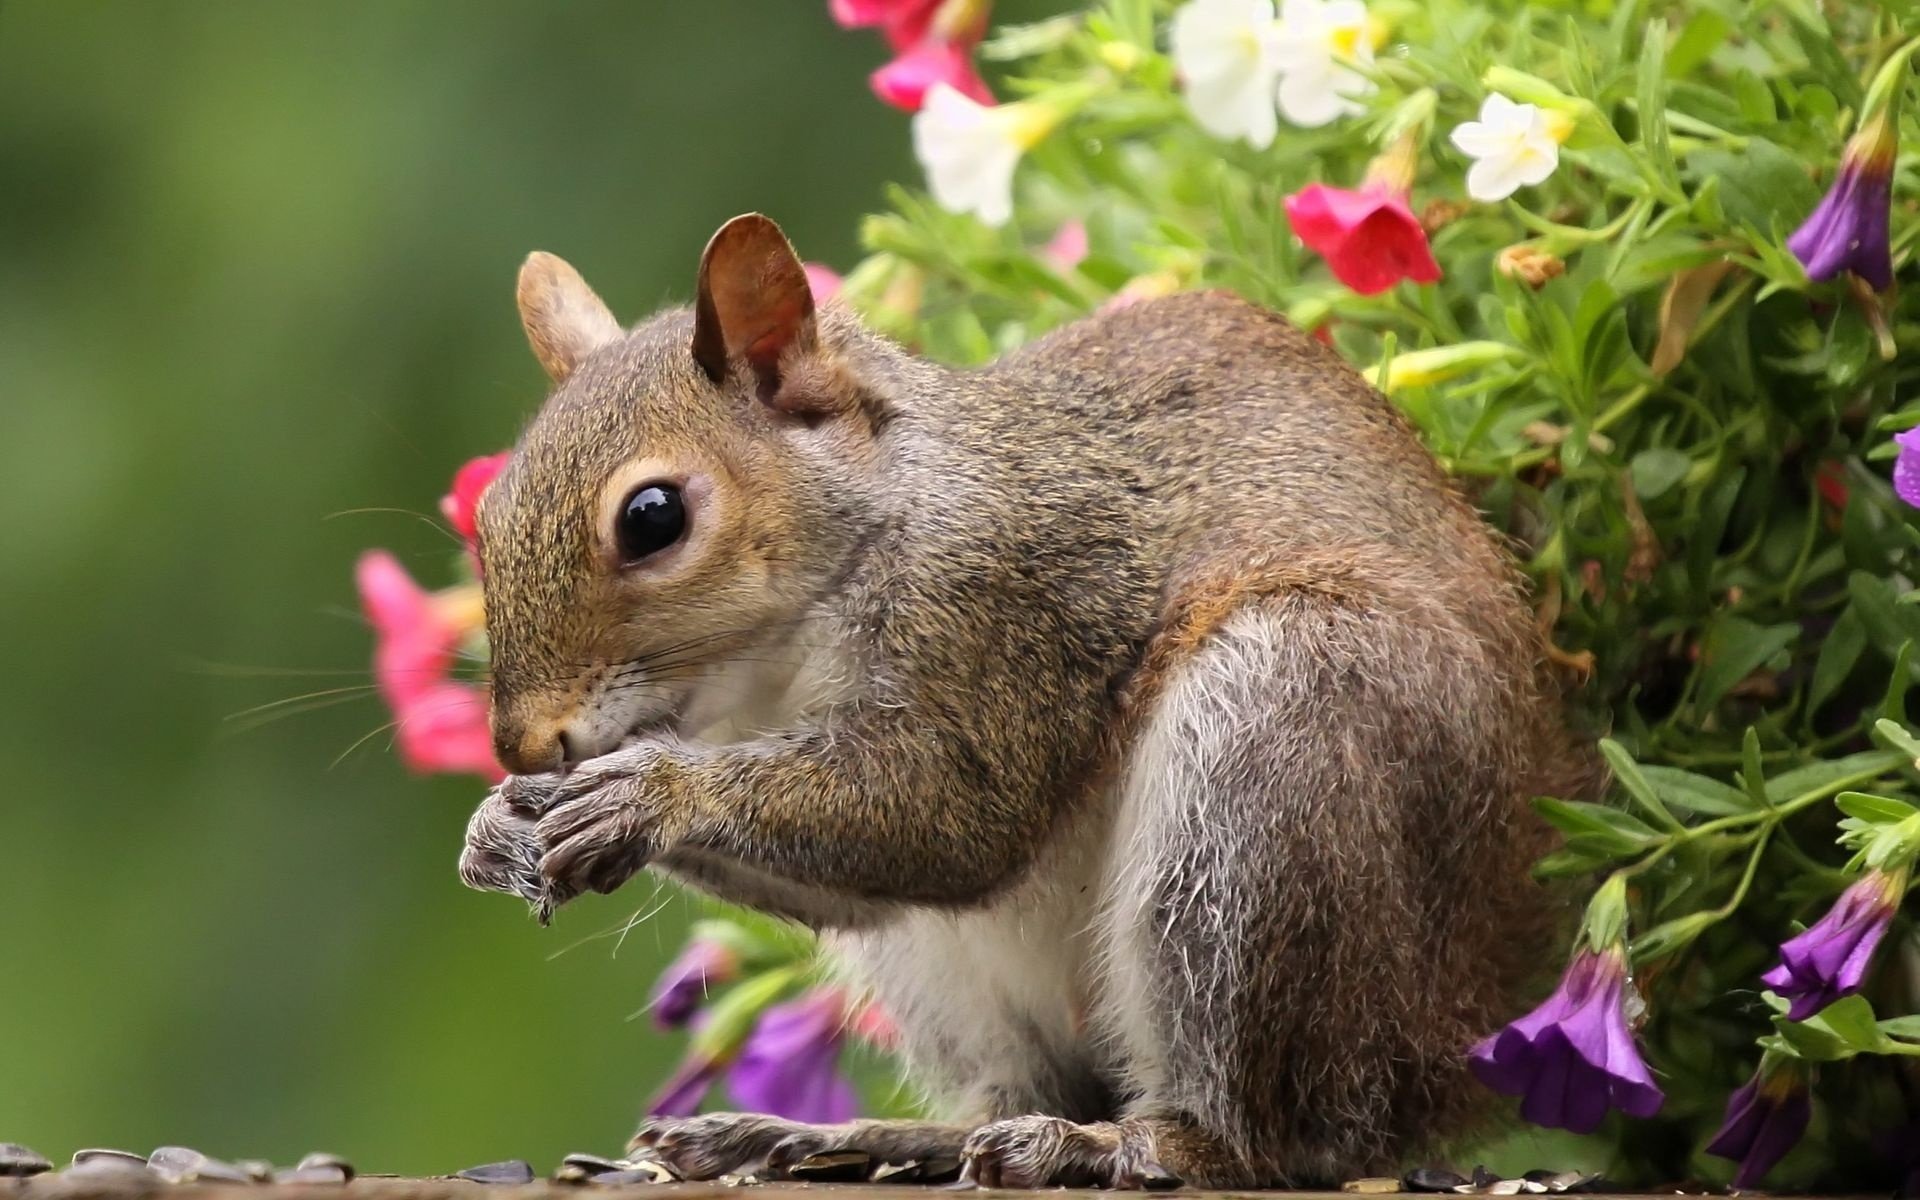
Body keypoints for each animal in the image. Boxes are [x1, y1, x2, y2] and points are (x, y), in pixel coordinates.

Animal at [456, 210, 1582, 1182]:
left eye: (653, 517)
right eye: (490, 510)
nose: (522, 745)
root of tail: (1454, 1029)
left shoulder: (1009, 608)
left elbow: (953, 818)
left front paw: (650, 794)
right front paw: (499, 828)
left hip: (1274, 767)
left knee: (1274, 1136)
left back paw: (1124, 1145)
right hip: (954, 977)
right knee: (1020, 1089)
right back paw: (864, 1138)